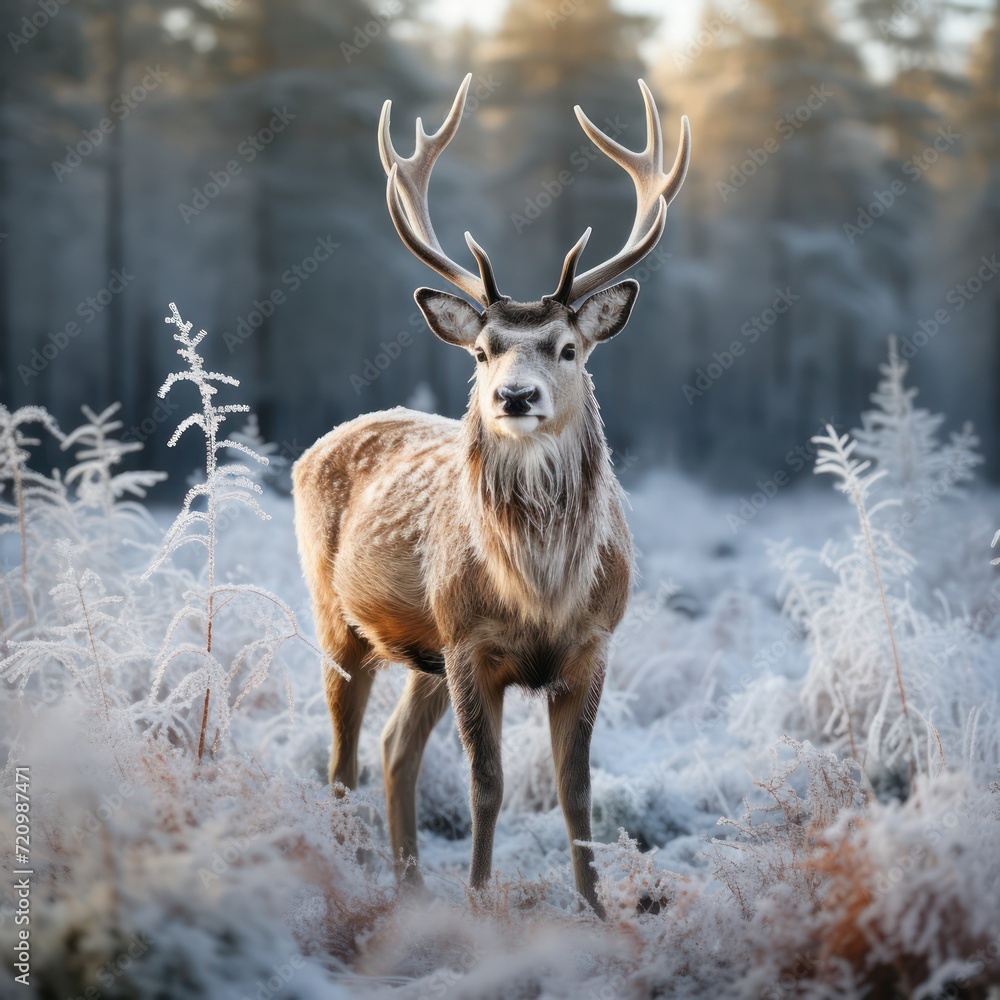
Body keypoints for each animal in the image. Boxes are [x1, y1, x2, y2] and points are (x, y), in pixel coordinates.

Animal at [292, 74, 689, 916]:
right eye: (481, 351)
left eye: (568, 348)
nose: (513, 396)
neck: (540, 591)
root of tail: (319, 445)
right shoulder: (470, 641)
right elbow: (488, 786)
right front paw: (478, 900)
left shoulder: (593, 645)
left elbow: (576, 790)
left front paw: (596, 908)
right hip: (339, 615)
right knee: (342, 762)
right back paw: (354, 874)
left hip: (423, 652)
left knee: (393, 749)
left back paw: (410, 886)